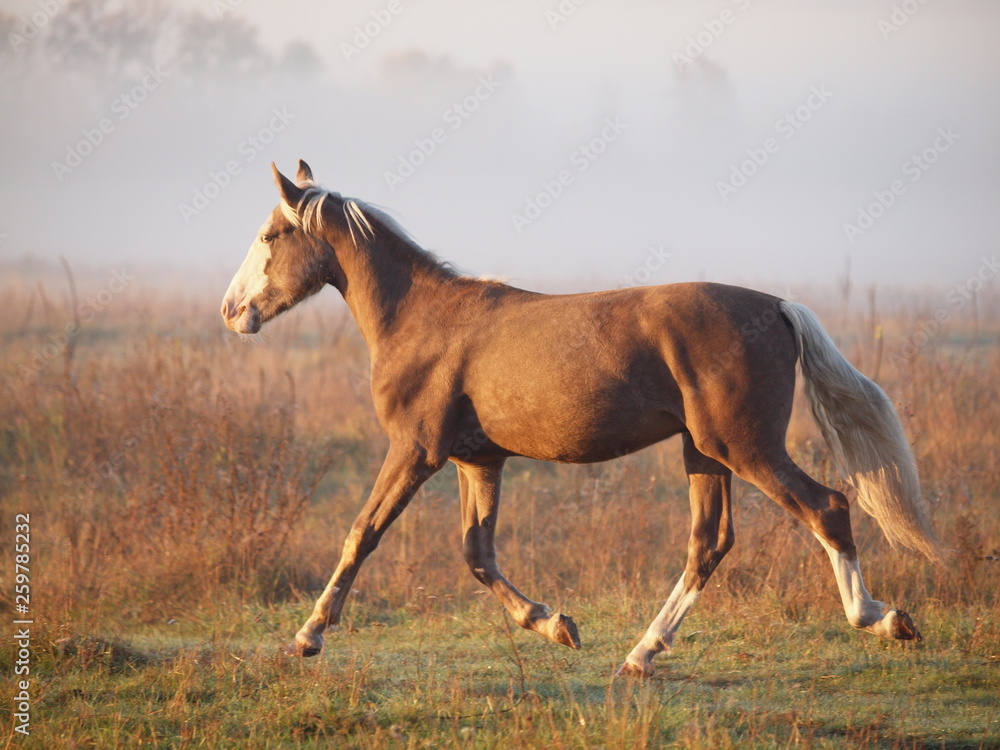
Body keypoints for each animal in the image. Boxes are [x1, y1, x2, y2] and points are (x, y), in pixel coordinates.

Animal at [219, 162, 936, 680]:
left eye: (271, 236)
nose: (231, 310)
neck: (421, 321)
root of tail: (778, 306)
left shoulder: (415, 451)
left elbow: (361, 534)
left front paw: (307, 636)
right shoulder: (479, 459)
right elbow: (477, 554)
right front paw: (556, 624)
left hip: (746, 447)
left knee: (828, 508)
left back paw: (882, 619)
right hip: (705, 453)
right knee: (709, 543)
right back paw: (641, 655)